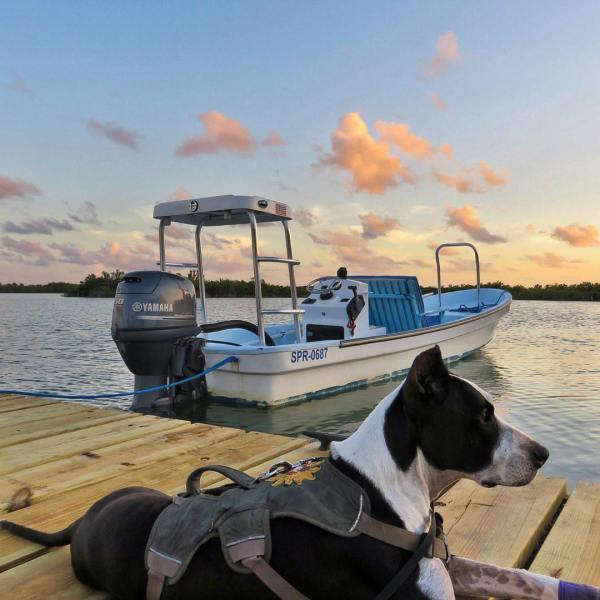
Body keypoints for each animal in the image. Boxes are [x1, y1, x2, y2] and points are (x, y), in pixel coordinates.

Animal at [2, 346, 596, 600]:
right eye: (483, 416)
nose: (544, 453)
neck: (386, 486)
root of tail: (81, 523)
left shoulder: (446, 566)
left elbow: (524, 577)